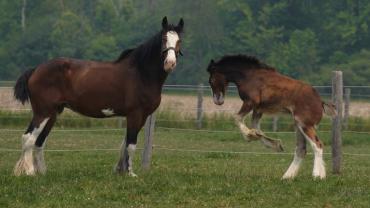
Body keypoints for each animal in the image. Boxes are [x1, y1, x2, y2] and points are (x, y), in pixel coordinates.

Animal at [12, 16, 184, 176]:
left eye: (179, 41)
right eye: (164, 39)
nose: (170, 63)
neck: (141, 73)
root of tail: (36, 69)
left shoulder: (140, 117)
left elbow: (124, 144)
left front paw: (120, 170)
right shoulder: (135, 115)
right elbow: (131, 145)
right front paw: (130, 173)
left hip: (53, 114)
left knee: (40, 141)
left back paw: (42, 172)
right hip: (43, 112)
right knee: (28, 138)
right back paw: (29, 172)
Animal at [207, 54, 336, 179]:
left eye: (211, 80)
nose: (217, 100)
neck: (249, 76)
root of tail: (320, 101)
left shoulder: (250, 102)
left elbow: (237, 118)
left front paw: (249, 135)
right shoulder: (258, 109)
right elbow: (255, 126)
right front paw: (272, 143)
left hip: (304, 124)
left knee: (317, 145)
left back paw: (317, 175)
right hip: (298, 125)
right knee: (301, 149)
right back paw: (288, 176)